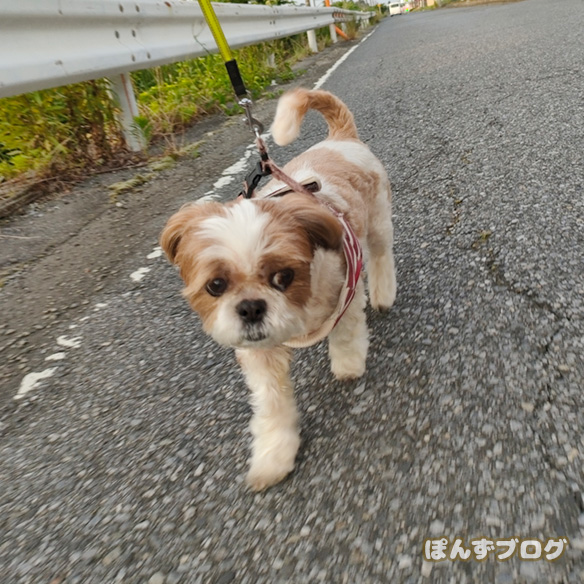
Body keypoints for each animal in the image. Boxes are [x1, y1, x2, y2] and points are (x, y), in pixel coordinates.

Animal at [160, 88, 396, 490]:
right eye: (216, 285)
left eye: (282, 277)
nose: (251, 307)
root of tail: (339, 140)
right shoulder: (259, 354)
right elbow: (271, 404)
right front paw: (273, 455)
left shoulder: (345, 289)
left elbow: (346, 334)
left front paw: (348, 364)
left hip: (378, 221)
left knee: (381, 256)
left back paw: (384, 294)